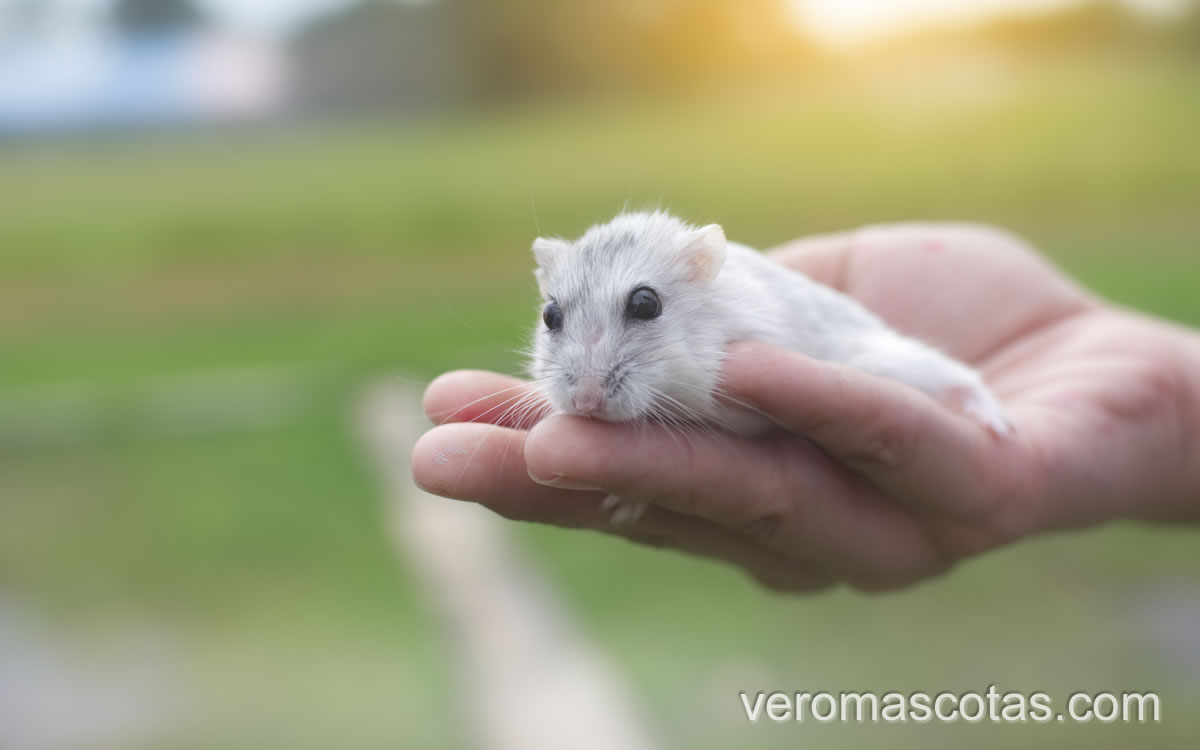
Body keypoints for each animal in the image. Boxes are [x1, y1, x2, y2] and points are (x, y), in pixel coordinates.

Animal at [528, 211, 1010, 521]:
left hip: (885, 360)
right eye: (550, 315)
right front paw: (620, 506)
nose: (586, 402)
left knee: (958, 375)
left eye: (646, 303)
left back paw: (998, 425)